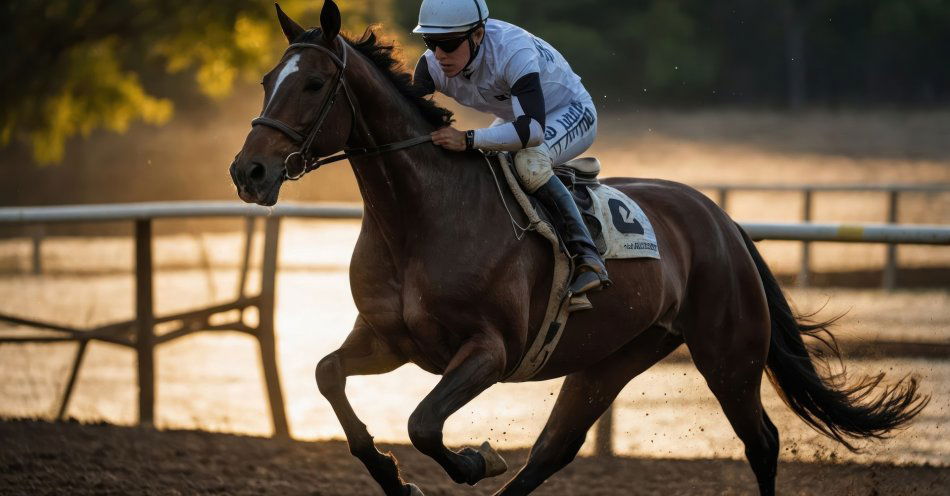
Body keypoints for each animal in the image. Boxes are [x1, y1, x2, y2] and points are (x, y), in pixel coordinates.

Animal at [229, 1, 928, 494]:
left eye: (313, 85)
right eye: (266, 79)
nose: (249, 172)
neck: (419, 220)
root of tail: (721, 219)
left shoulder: (490, 350)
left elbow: (424, 422)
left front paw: (474, 460)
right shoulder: (389, 340)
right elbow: (328, 376)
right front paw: (394, 477)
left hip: (728, 352)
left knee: (762, 441)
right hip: (612, 357)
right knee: (553, 451)